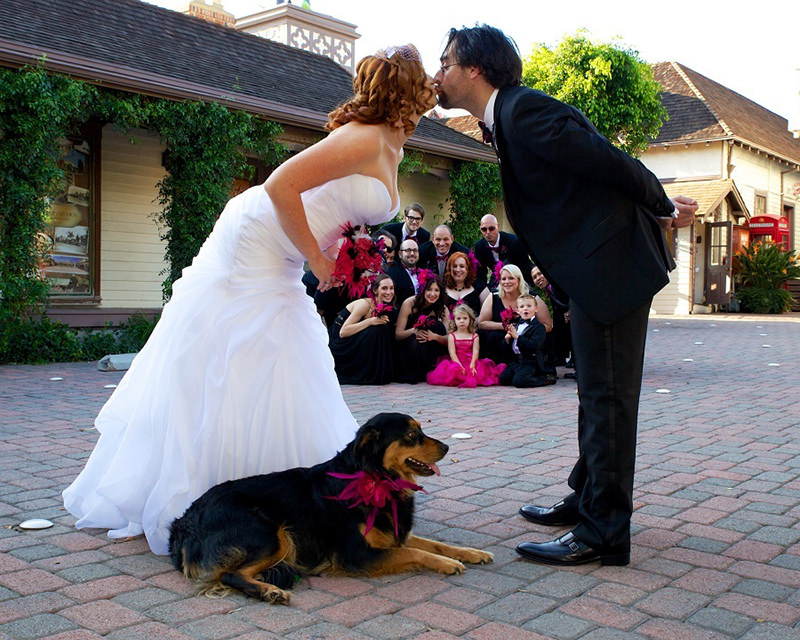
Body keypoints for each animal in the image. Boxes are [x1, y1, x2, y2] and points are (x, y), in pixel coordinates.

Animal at [171, 412, 490, 604]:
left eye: (421, 431)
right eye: (412, 436)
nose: (447, 447)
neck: (374, 477)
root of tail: (183, 524)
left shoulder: (395, 534)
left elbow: (435, 544)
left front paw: (471, 553)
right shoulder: (357, 554)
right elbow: (414, 552)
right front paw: (448, 564)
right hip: (272, 533)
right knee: (229, 574)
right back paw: (269, 591)